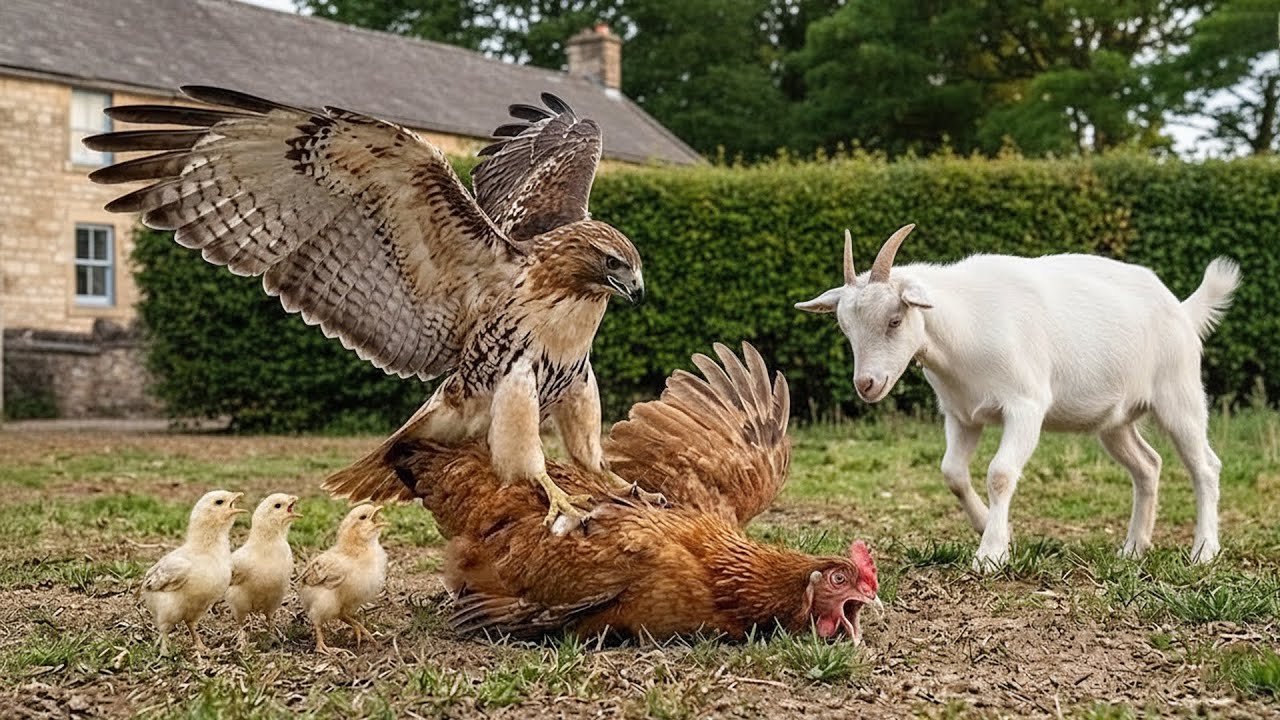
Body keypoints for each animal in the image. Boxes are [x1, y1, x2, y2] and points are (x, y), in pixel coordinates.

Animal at [796, 224, 1240, 570]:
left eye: (894, 320)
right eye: (845, 329)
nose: (866, 384)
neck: (963, 326)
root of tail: (1181, 309)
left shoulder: (1025, 406)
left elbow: (1000, 473)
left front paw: (990, 554)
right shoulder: (961, 415)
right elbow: (952, 473)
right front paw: (991, 528)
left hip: (1179, 394)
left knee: (1205, 466)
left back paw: (1204, 552)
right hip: (1114, 421)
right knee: (1148, 465)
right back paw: (1133, 549)